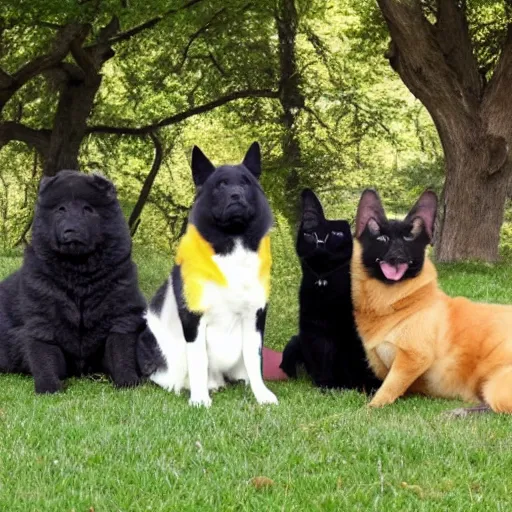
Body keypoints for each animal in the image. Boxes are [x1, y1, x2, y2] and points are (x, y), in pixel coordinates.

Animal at [0, 171, 148, 392]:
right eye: (61, 209)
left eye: (88, 209)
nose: (71, 230)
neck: (78, 274)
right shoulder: (41, 320)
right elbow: (43, 356)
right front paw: (49, 387)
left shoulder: (121, 316)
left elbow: (121, 352)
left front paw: (128, 382)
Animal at [139, 143, 276, 408]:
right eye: (221, 185)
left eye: (245, 183)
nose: (236, 195)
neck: (232, 245)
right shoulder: (194, 317)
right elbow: (198, 359)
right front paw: (200, 398)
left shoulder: (255, 316)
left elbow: (254, 359)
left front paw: (261, 394)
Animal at [280, 189, 380, 392]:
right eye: (310, 234)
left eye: (336, 233)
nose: (320, 242)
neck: (324, 287)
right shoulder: (314, 328)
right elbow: (322, 358)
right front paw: (328, 386)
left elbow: (357, 361)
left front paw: (364, 388)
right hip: (294, 343)